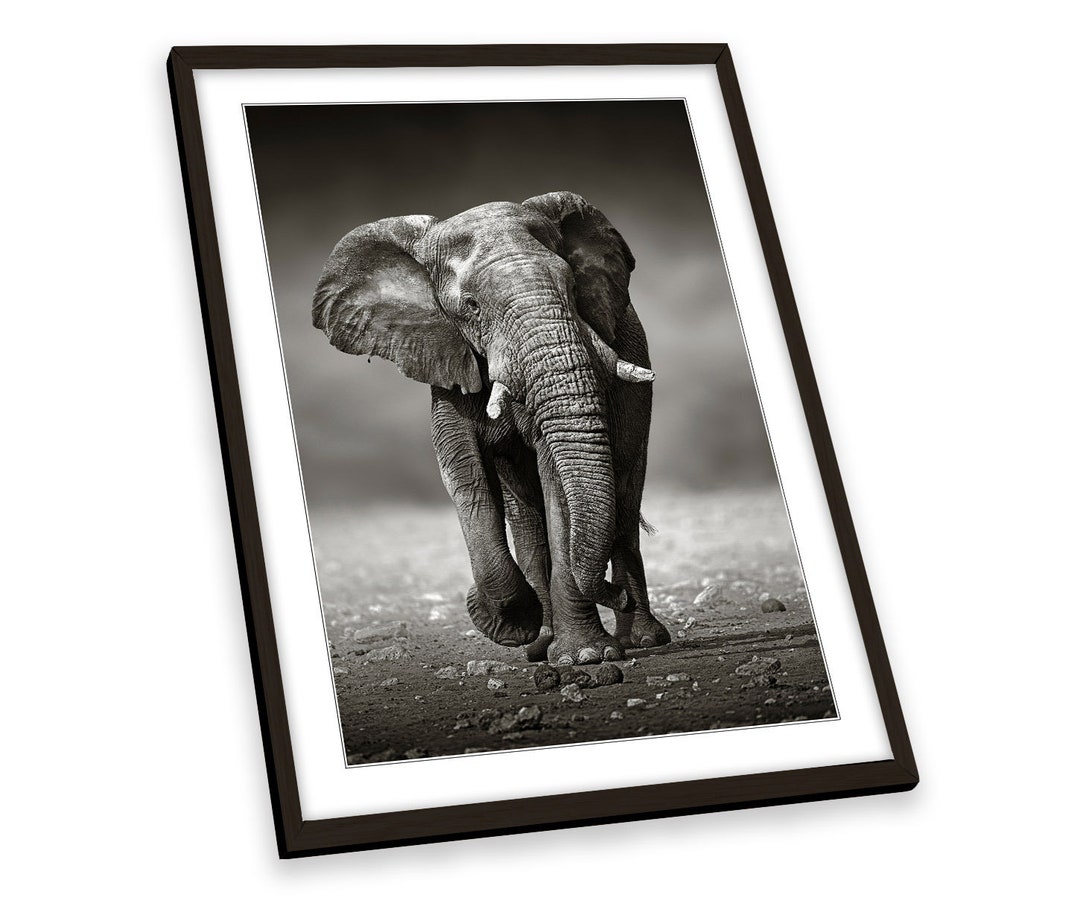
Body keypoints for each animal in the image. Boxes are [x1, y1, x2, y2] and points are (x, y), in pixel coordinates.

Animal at [312, 191, 671, 666]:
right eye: (472, 306)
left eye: (572, 289)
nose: (615, 596)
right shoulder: (447, 365)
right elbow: (466, 476)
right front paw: (513, 625)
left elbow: (557, 479)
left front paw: (584, 656)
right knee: (527, 517)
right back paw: (540, 645)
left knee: (625, 497)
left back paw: (641, 640)